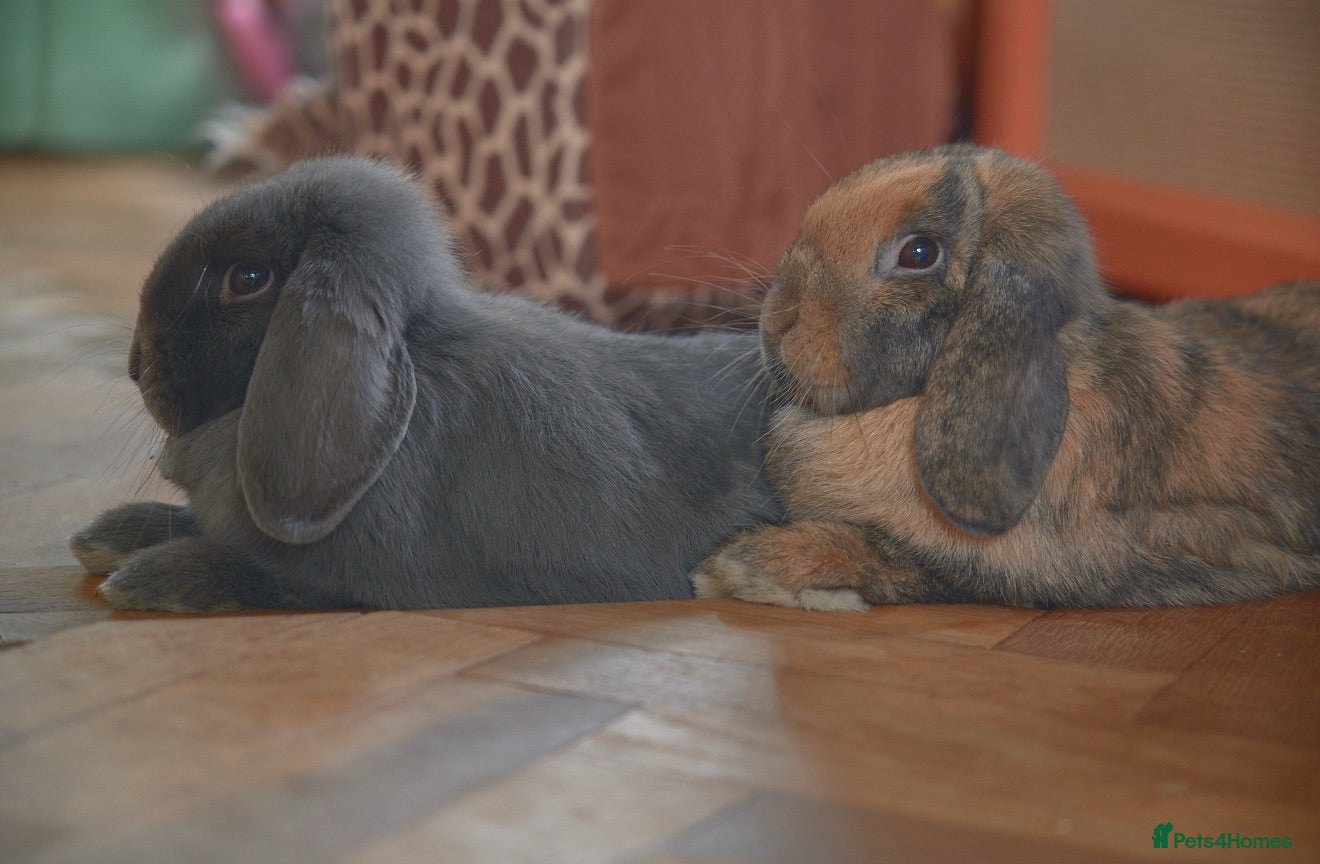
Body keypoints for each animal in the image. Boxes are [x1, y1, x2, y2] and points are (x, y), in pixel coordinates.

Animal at [69, 156, 782, 612]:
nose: (135, 362)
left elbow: (270, 578)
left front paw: (145, 578)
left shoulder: (375, 581)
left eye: (247, 278)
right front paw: (109, 534)